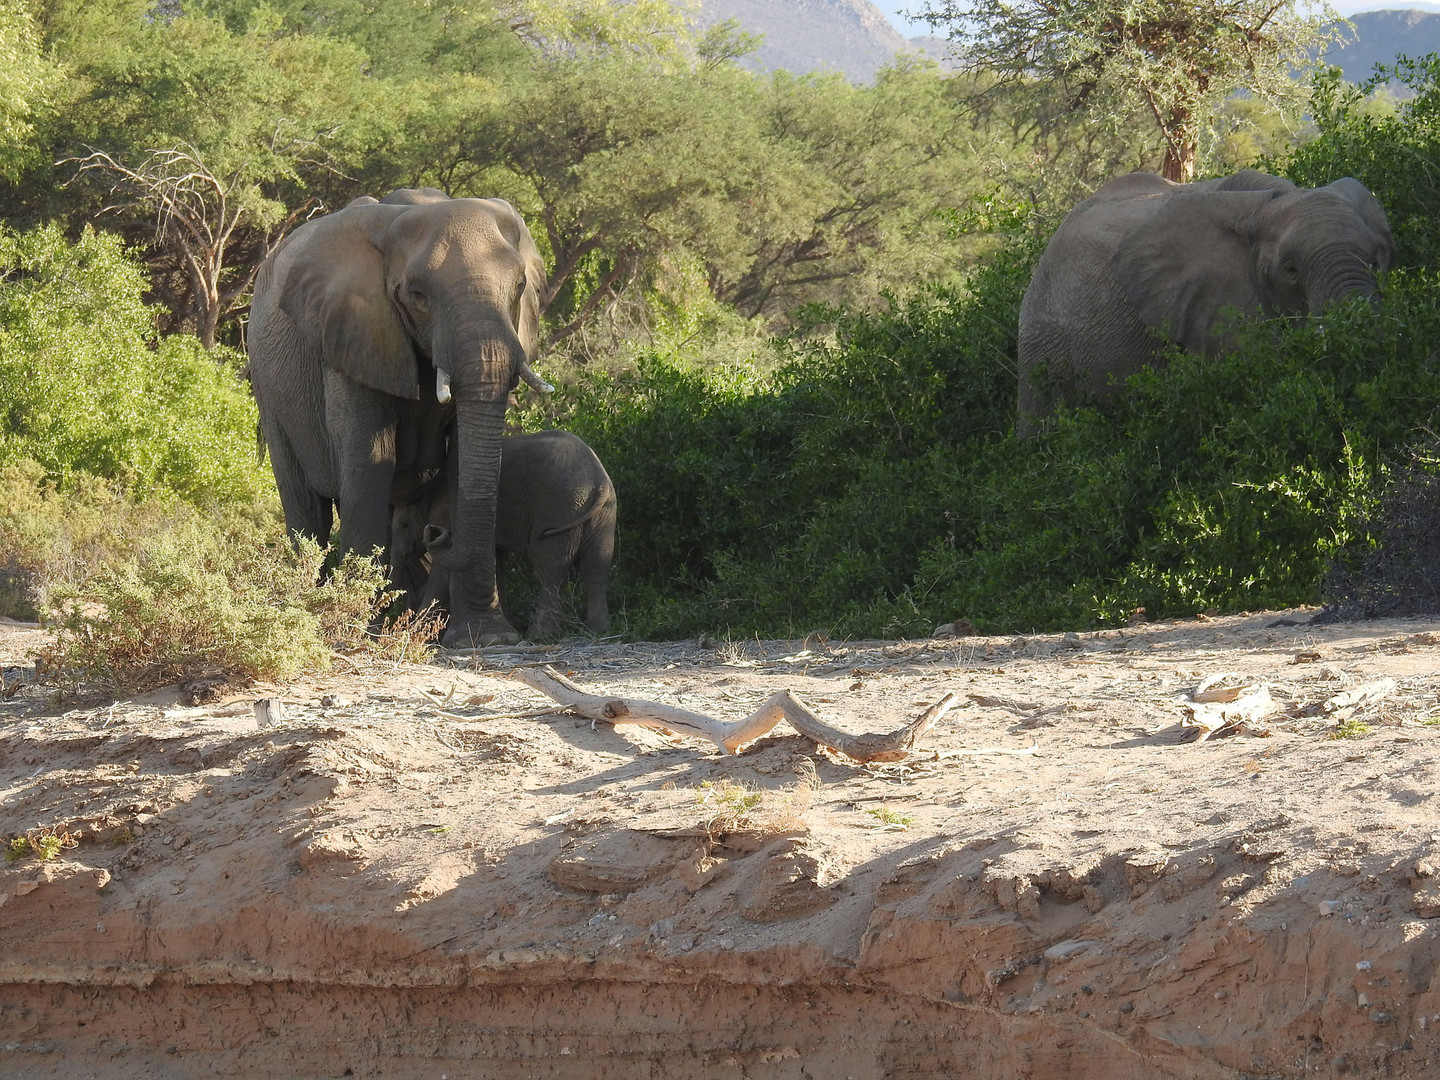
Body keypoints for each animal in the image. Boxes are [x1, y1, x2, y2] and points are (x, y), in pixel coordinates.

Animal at [247, 187, 550, 648]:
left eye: (519, 286)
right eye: (418, 295)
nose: (438, 535)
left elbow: (464, 463)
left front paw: (485, 639)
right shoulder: (351, 333)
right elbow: (369, 456)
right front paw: (354, 631)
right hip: (269, 388)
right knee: (307, 511)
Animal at [388, 426, 619, 639]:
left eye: (404, 526)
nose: (432, 532)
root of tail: (598, 482)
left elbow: (444, 570)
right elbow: (497, 563)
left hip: (560, 509)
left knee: (551, 567)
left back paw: (540, 635)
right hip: (603, 515)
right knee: (597, 565)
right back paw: (599, 630)